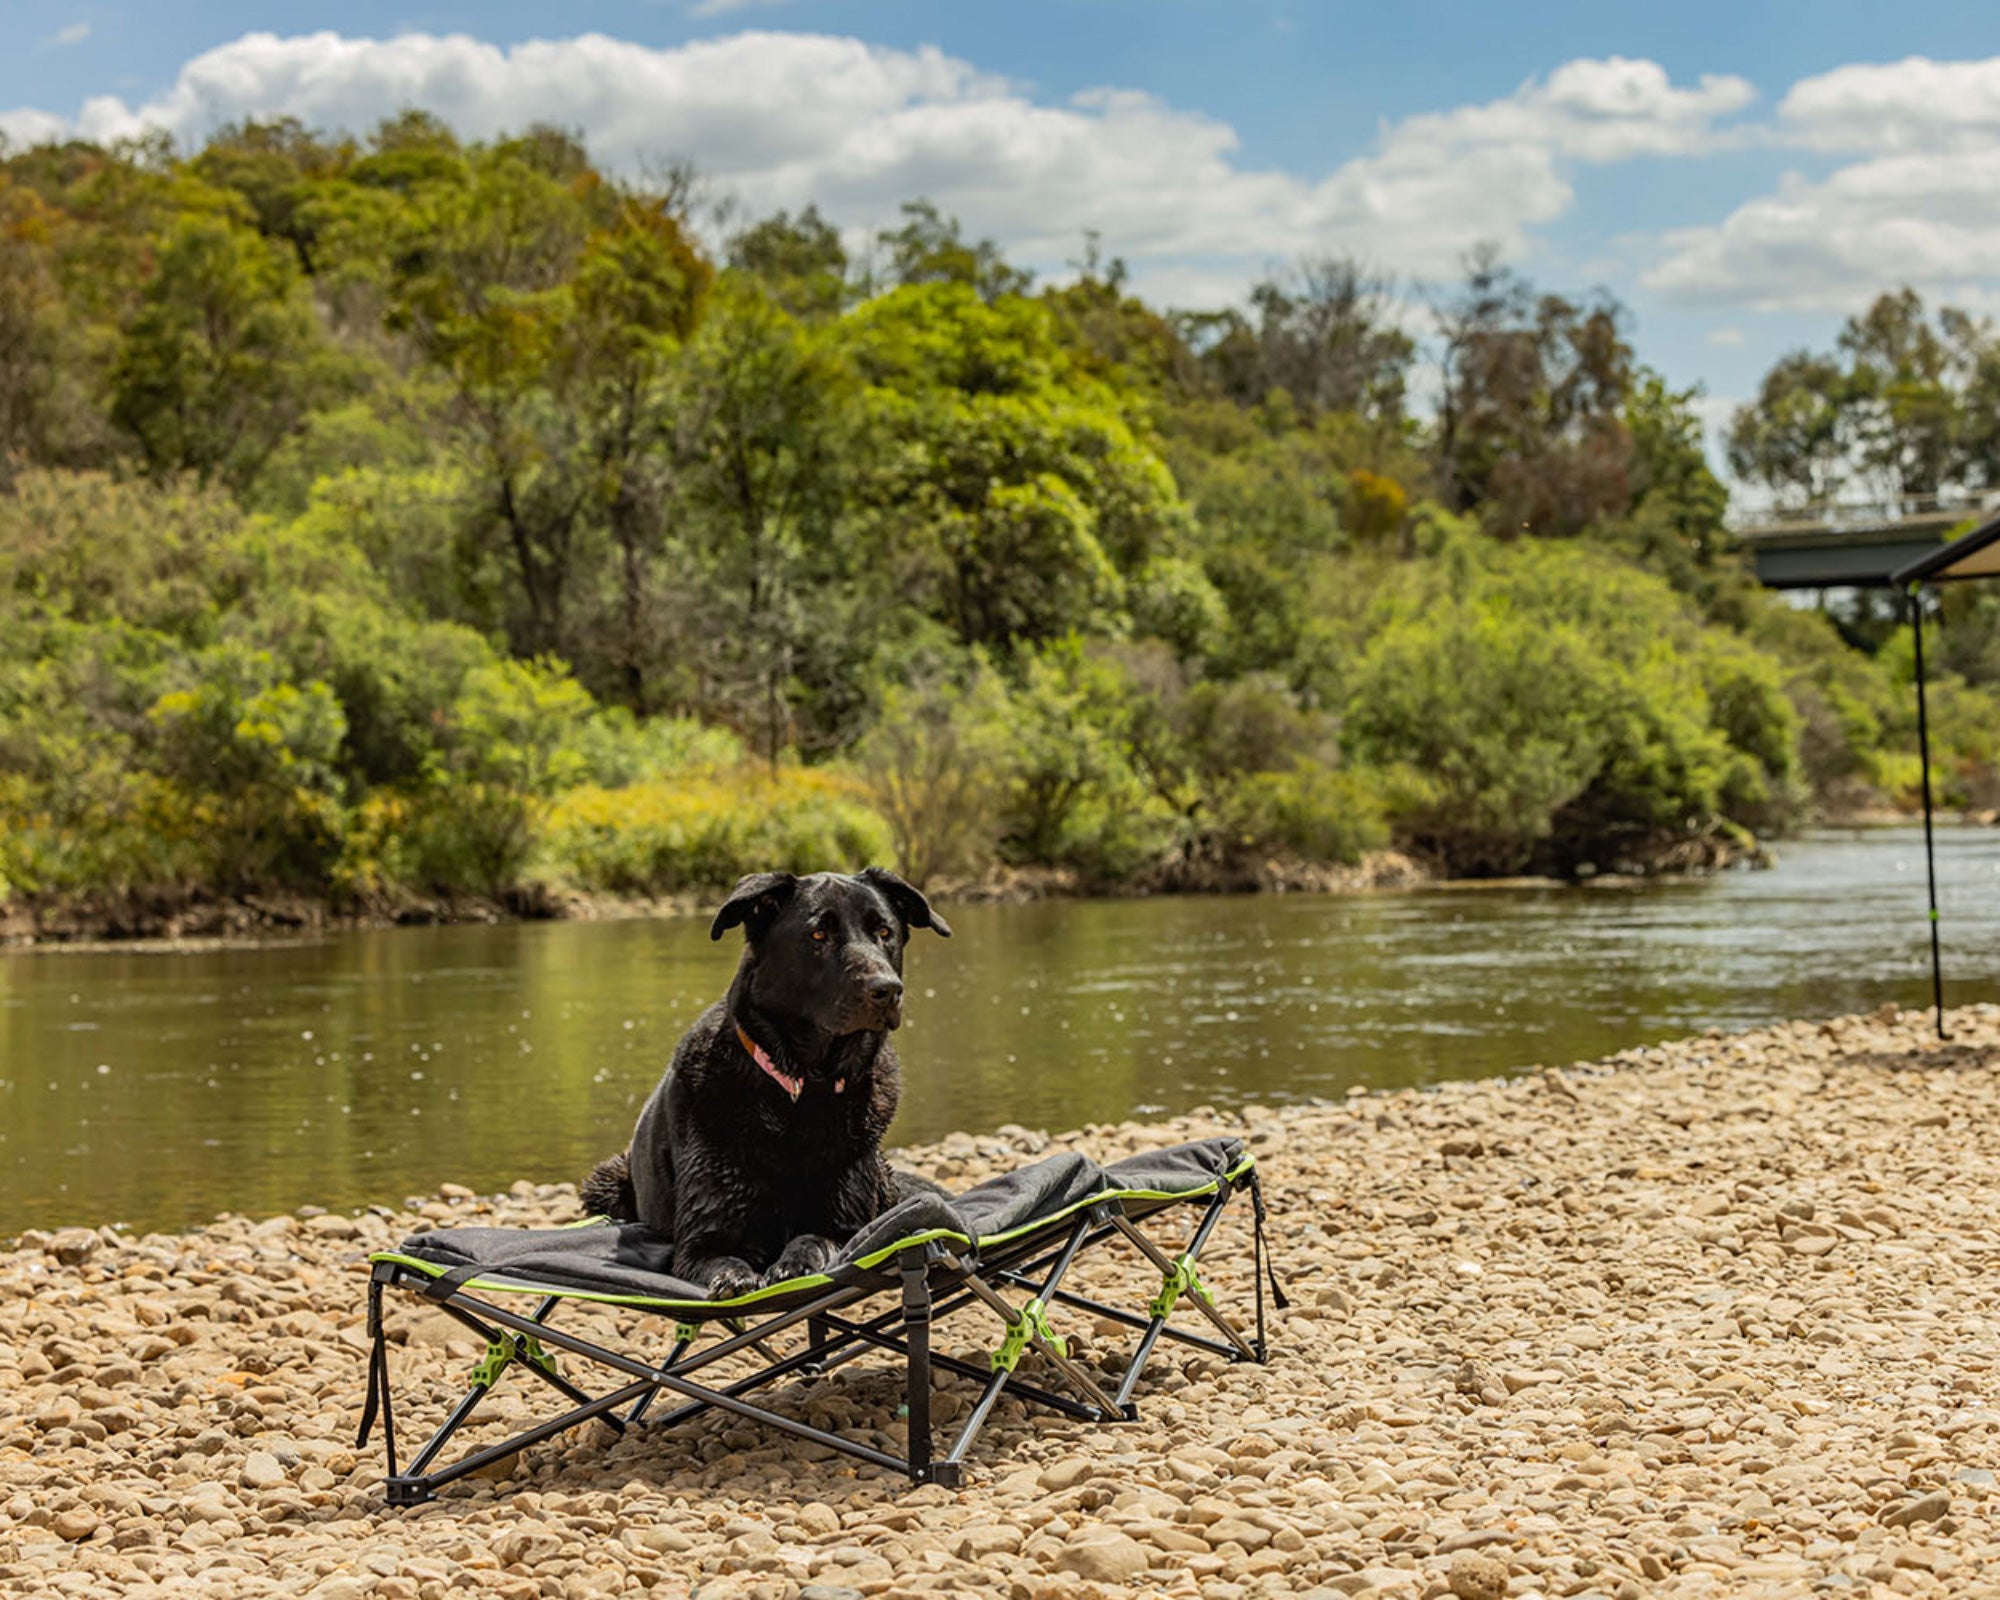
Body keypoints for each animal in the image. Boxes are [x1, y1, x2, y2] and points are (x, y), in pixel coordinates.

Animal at [580, 864, 952, 1296]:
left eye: (884, 932)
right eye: (818, 935)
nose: (888, 990)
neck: (806, 1088)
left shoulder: (848, 1227)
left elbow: (812, 1238)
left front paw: (794, 1264)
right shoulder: (700, 1243)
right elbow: (723, 1259)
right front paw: (735, 1277)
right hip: (605, 1181)